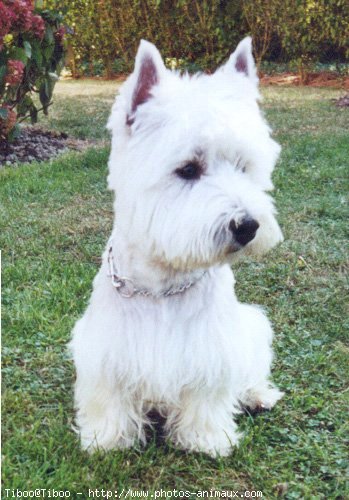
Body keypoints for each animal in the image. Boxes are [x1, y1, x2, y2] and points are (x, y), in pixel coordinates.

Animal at [70, 37, 282, 456]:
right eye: (188, 169)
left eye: (243, 165)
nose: (248, 226)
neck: (162, 282)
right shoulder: (104, 352)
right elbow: (109, 397)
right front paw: (107, 438)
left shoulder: (213, 350)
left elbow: (208, 394)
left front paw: (207, 438)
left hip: (251, 327)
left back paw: (258, 395)